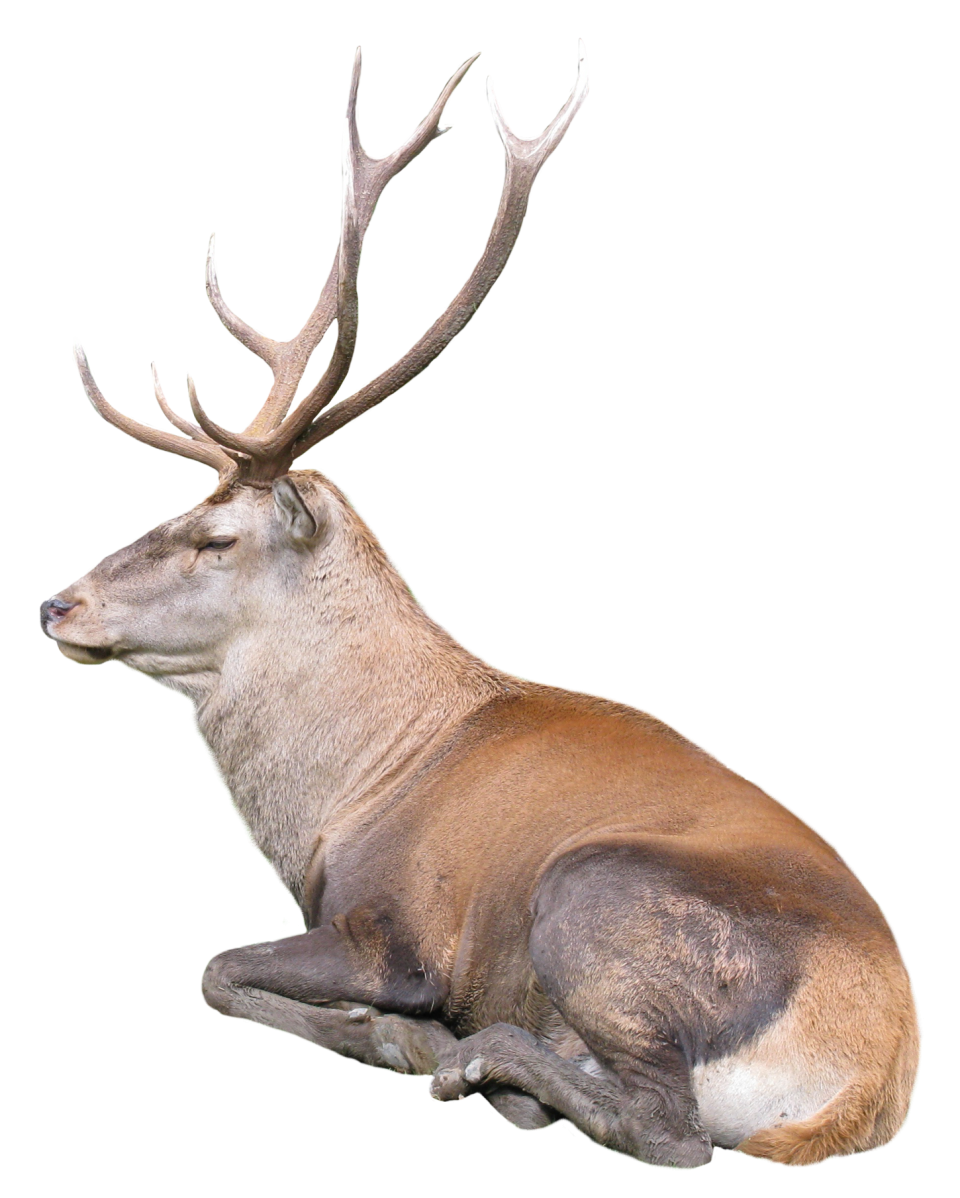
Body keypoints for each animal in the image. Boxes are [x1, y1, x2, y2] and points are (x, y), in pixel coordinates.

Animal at [39, 42, 920, 1169]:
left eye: (215, 536)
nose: (59, 604)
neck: (345, 797)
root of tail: (865, 1084)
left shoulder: (395, 930)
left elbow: (216, 968)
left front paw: (398, 1036)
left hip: (593, 895)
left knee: (669, 1132)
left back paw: (480, 1067)